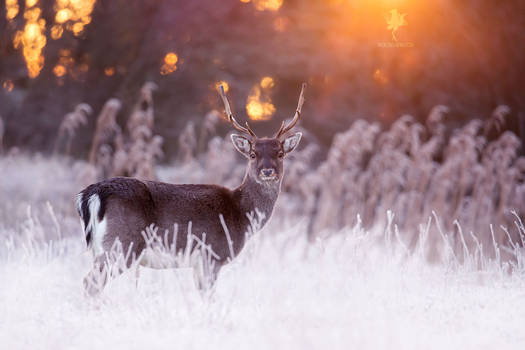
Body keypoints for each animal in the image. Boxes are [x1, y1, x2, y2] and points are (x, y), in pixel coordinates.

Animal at [78, 83, 308, 294]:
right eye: (252, 154)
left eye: (280, 154)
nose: (268, 171)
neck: (241, 214)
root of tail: (92, 193)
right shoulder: (211, 253)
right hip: (122, 243)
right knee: (91, 282)